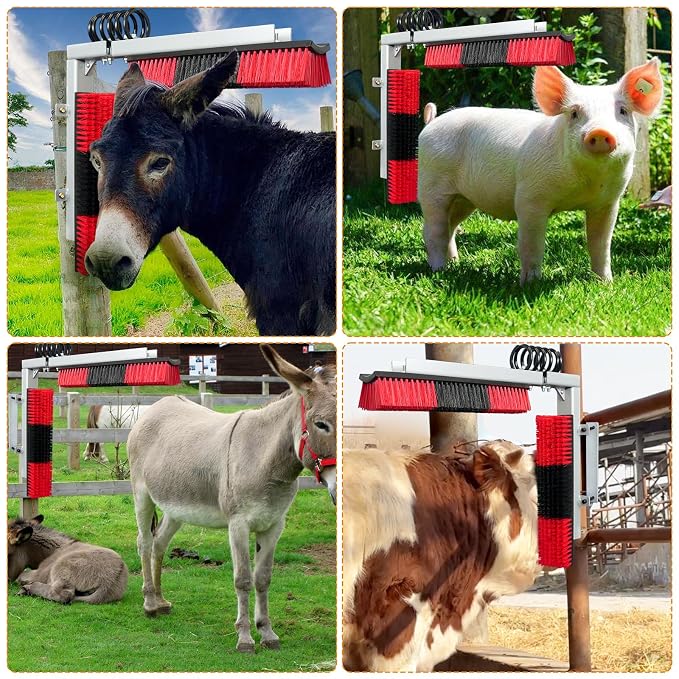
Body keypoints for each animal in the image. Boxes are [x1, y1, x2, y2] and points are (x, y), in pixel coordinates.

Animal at [126, 344, 336, 652]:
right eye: (321, 425)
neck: (264, 460)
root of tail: (158, 405)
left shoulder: (274, 525)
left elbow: (263, 578)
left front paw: (267, 633)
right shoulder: (238, 525)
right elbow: (243, 580)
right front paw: (245, 638)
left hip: (176, 507)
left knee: (159, 542)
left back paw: (161, 601)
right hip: (142, 495)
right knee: (144, 542)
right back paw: (150, 603)